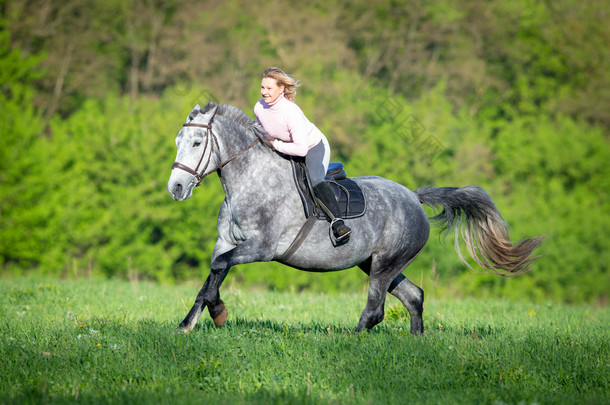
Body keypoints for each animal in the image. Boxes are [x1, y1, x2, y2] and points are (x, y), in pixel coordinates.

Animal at [166, 102, 540, 334]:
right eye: (177, 139)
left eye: (197, 142)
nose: (176, 187)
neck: (251, 180)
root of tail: (414, 198)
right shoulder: (226, 242)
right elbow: (211, 275)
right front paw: (188, 324)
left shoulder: (262, 248)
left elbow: (218, 269)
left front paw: (218, 313)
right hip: (374, 263)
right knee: (414, 296)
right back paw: (417, 341)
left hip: (384, 264)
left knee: (375, 309)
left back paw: (349, 339)